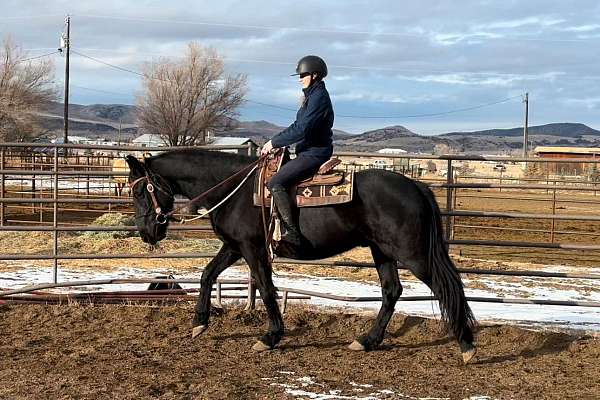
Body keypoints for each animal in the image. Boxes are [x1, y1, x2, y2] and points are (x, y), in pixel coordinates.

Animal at [126, 149, 478, 362]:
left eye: (141, 190)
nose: (146, 232)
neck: (234, 191)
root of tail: (417, 186)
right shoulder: (234, 247)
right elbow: (207, 274)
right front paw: (199, 323)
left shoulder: (252, 249)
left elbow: (266, 289)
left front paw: (270, 337)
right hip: (382, 251)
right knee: (392, 291)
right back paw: (366, 340)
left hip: (412, 253)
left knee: (447, 286)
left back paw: (467, 345)